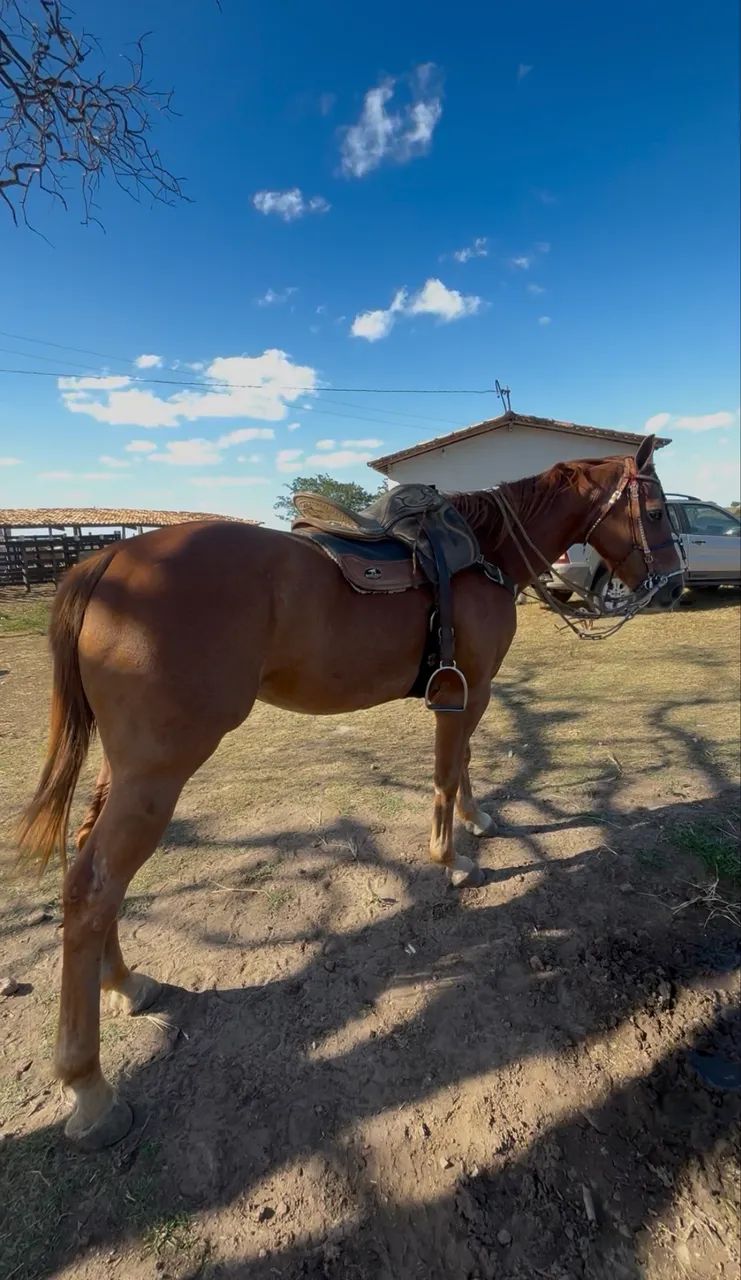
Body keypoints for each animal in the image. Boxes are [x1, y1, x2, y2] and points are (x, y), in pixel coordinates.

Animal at [18, 433, 683, 1150]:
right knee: (93, 887)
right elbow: (448, 767)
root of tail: (107, 559)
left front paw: (478, 823)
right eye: (654, 510)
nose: (673, 585)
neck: (486, 551)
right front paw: (451, 859)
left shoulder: (469, 691)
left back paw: (124, 983)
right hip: (157, 771)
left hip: (125, 768)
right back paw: (90, 1087)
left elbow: (465, 761)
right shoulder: (466, 689)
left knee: (95, 866)